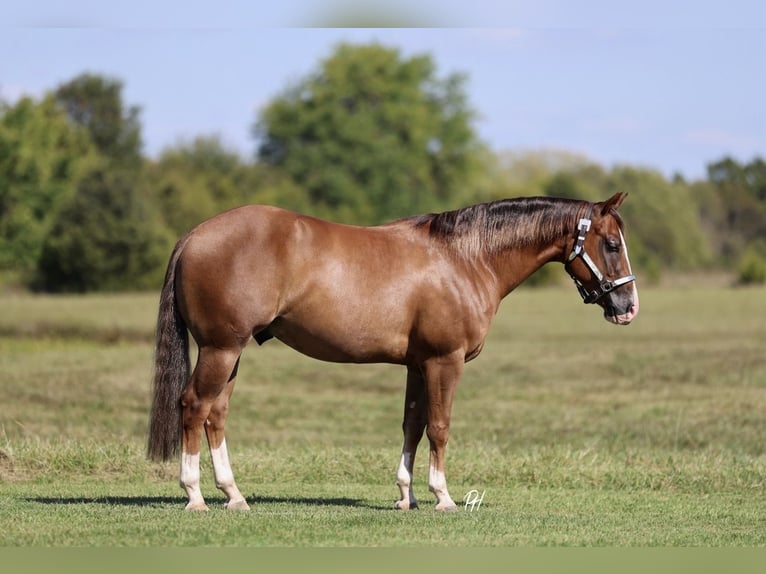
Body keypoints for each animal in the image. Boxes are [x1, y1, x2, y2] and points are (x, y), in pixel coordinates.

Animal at [147, 192, 639, 511]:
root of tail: (194, 236)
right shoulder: (444, 361)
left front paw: (407, 496)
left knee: (216, 414)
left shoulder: (418, 365)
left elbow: (413, 425)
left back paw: (233, 495)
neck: (465, 259)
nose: (628, 307)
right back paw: (194, 495)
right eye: (612, 244)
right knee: (194, 406)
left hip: (230, 353)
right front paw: (443, 497)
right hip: (220, 349)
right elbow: (439, 427)